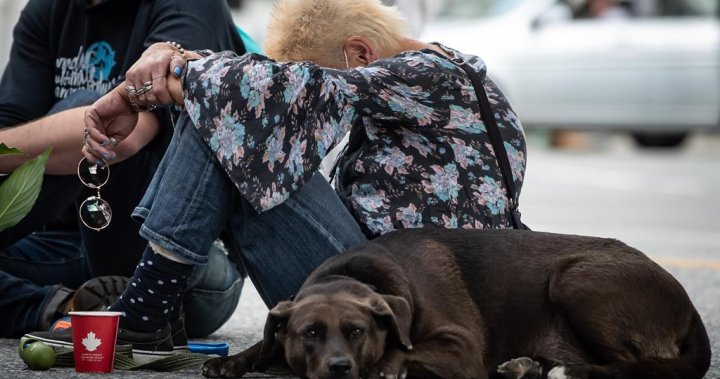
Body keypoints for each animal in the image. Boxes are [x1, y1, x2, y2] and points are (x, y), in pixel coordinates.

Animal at [201, 229, 708, 379]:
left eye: (357, 332)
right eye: (309, 334)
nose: (340, 368)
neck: (358, 273)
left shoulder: (460, 347)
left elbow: (405, 348)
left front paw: (386, 365)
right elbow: (266, 342)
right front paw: (233, 362)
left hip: (575, 281)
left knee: (632, 365)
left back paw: (563, 370)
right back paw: (531, 366)